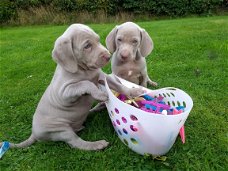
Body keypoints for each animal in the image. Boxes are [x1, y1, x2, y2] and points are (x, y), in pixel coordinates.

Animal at [0, 23, 143, 152]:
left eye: (98, 40)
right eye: (87, 46)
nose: (108, 56)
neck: (84, 70)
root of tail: (34, 133)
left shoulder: (102, 76)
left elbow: (118, 85)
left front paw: (134, 91)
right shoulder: (64, 93)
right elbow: (86, 83)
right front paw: (100, 94)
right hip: (61, 130)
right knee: (74, 142)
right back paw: (96, 145)